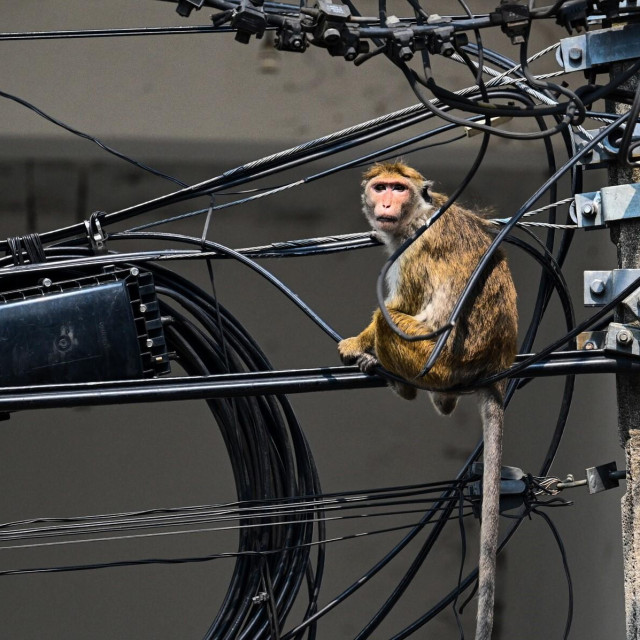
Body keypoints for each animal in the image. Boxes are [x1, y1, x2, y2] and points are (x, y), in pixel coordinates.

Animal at [338, 161, 516, 640]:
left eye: (398, 189)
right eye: (381, 187)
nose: (385, 202)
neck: (419, 213)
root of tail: (490, 366)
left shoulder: (413, 250)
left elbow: (396, 307)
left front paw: (356, 343)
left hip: (433, 364)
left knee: (391, 320)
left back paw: (400, 382)